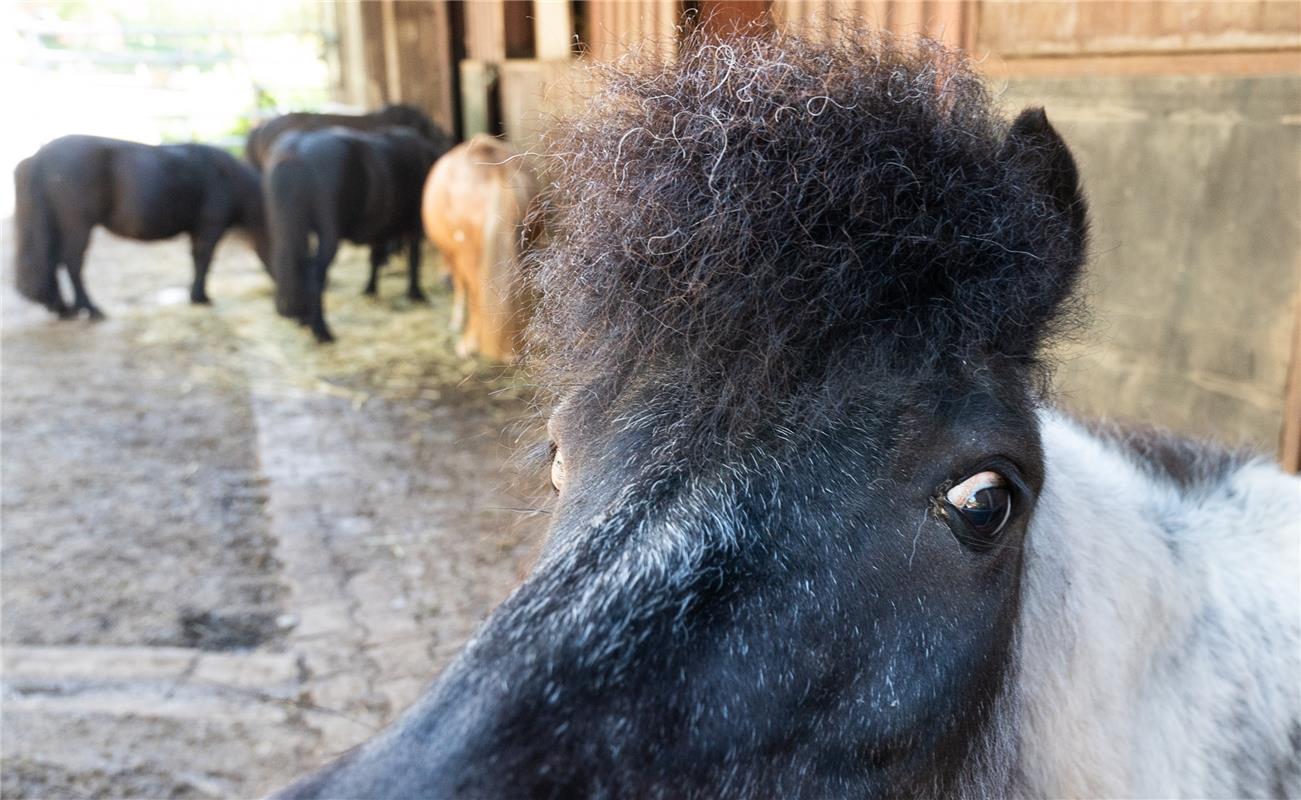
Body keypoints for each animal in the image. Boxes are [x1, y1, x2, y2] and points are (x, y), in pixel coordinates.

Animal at [11, 133, 270, 316]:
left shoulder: (197, 230)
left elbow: (197, 261)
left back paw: (63, 308)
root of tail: (40, 156)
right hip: (77, 225)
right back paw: (90, 309)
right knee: (71, 263)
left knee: (52, 261)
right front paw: (201, 297)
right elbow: (203, 262)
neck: (229, 177)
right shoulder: (209, 228)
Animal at [261, 124, 450, 340]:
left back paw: (305, 320)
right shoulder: (415, 225)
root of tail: (296, 150)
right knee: (315, 274)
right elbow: (414, 259)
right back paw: (321, 330)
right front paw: (416, 293)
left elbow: (375, 257)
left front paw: (370, 289)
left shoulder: (381, 229)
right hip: (328, 234)